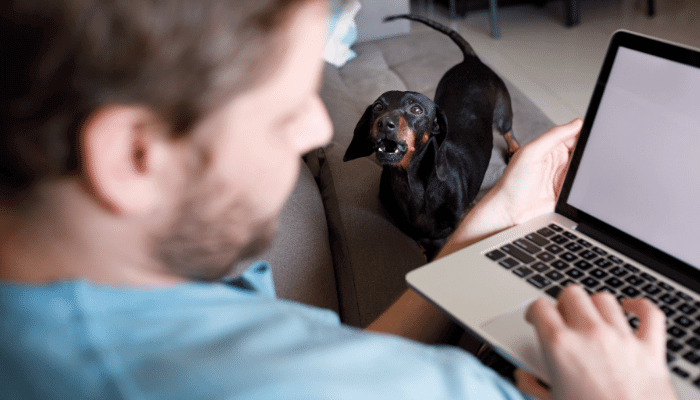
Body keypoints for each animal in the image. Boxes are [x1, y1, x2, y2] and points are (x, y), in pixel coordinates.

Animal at [342, 13, 524, 260]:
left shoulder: (457, 223)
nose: (384, 124)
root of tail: (472, 60)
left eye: (417, 109)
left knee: (508, 132)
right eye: (378, 106)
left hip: (503, 113)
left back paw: (515, 150)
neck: (411, 184)